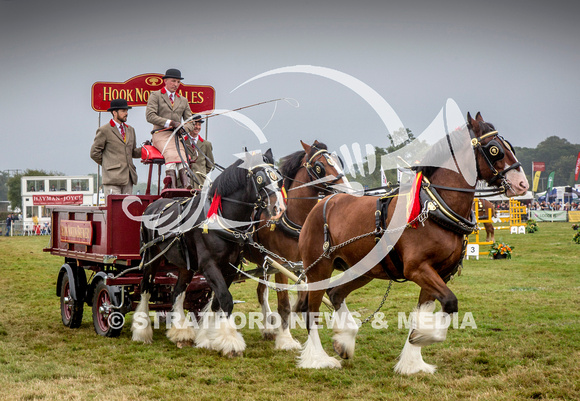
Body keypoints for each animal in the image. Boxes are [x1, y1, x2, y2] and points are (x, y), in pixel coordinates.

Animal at [131, 150, 286, 356]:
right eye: (260, 179)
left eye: (280, 180)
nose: (279, 209)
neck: (220, 219)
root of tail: (153, 205)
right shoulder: (209, 265)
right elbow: (226, 300)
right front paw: (230, 342)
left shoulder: (230, 268)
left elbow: (216, 302)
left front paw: (207, 338)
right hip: (150, 258)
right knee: (145, 288)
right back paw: (142, 332)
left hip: (186, 266)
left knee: (177, 293)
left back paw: (181, 333)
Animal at [244, 139, 346, 348]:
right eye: (320, 167)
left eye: (338, 161)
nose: (346, 188)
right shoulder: (280, 264)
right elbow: (284, 303)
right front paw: (286, 339)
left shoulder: (301, 264)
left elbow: (303, 296)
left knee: (261, 291)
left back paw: (267, 328)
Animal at [296, 111, 528, 372]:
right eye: (495, 149)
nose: (522, 184)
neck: (434, 206)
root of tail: (322, 203)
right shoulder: (418, 269)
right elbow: (450, 302)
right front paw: (424, 337)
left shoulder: (439, 273)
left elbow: (424, 313)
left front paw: (413, 362)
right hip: (319, 269)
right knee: (310, 310)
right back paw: (318, 359)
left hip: (362, 269)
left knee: (335, 293)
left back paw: (344, 340)